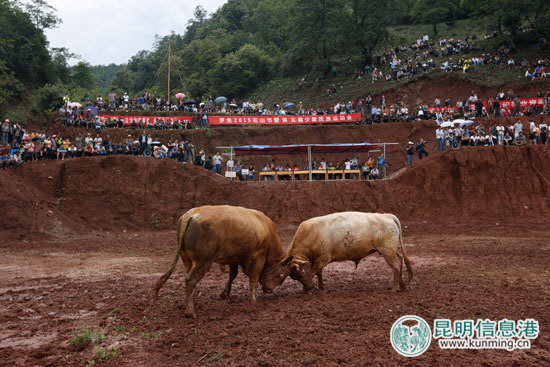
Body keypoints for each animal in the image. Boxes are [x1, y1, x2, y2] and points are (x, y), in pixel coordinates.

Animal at [154, 206, 294, 318]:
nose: (269, 290)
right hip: (202, 262)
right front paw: (254, 301)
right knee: (190, 280)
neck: (266, 229)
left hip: (187, 260)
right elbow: (253, 279)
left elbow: (232, 275)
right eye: (281, 274)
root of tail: (190, 215)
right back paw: (191, 312)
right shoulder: (258, 257)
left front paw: (225, 293)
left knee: (190, 281)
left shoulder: (234, 258)